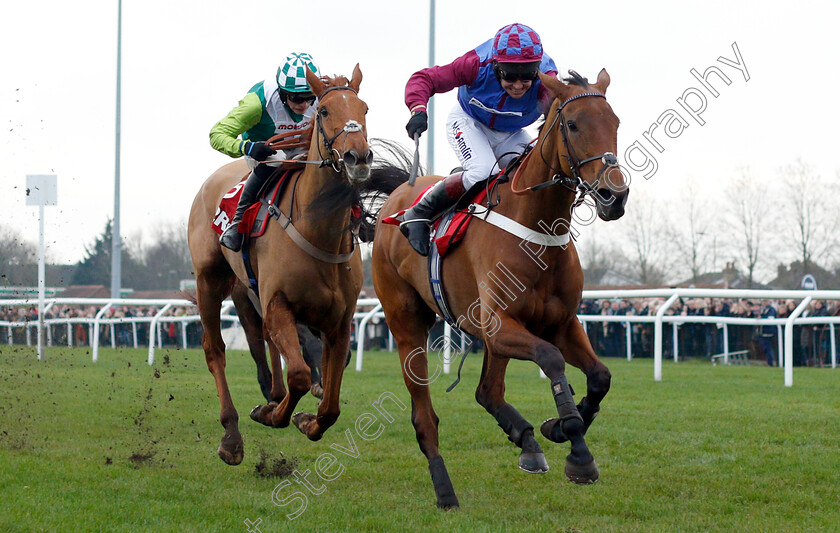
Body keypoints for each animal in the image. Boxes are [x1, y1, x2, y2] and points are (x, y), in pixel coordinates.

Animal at [189, 66, 388, 464]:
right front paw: (275, 415)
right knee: (214, 348)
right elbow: (298, 373)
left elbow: (331, 403)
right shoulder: (279, 303)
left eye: (364, 108)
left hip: (249, 289)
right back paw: (232, 436)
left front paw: (306, 419)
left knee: (262, 340)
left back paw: (272, 397)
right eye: (324, 111)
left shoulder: (339, 320)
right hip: (209, 281)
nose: (358, 157)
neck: (317, 232)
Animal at [374, 70, 632, 508]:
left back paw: (527, 442)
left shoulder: (560, 323)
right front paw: (578, 451)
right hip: (406, 324)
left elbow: (601, 377)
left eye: (615, 122)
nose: (614, 195)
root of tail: (398, 197)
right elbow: (551, 360)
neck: (537, 227)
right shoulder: (500, 325)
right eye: (573, 124)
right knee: (425, 417)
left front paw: (557, 426)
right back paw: (445, 490)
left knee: (487, 392)